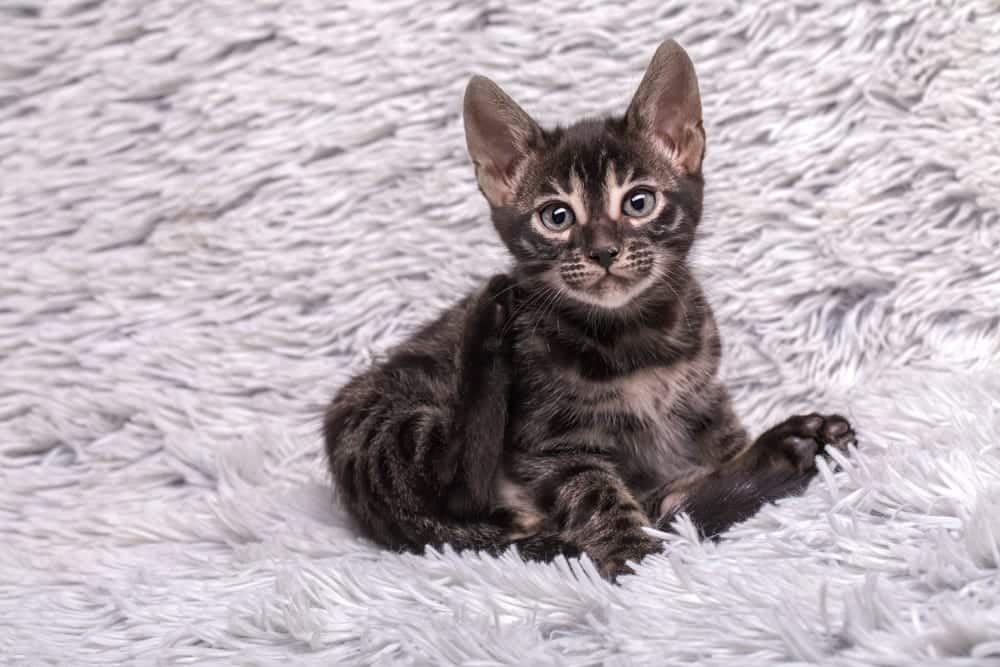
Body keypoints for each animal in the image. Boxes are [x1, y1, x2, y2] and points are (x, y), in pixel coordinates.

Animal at [324, 39, 856, 580]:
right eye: (557, 216)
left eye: (639, 202)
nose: (602, 251)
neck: (635, 333)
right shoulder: (548, 445)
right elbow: (596, 494)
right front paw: (633, 553)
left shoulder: (704, 392)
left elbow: (722, 442)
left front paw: (750, 453)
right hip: (391, 421)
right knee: (457, 485)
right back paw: (487, 319)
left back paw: (784, 454)